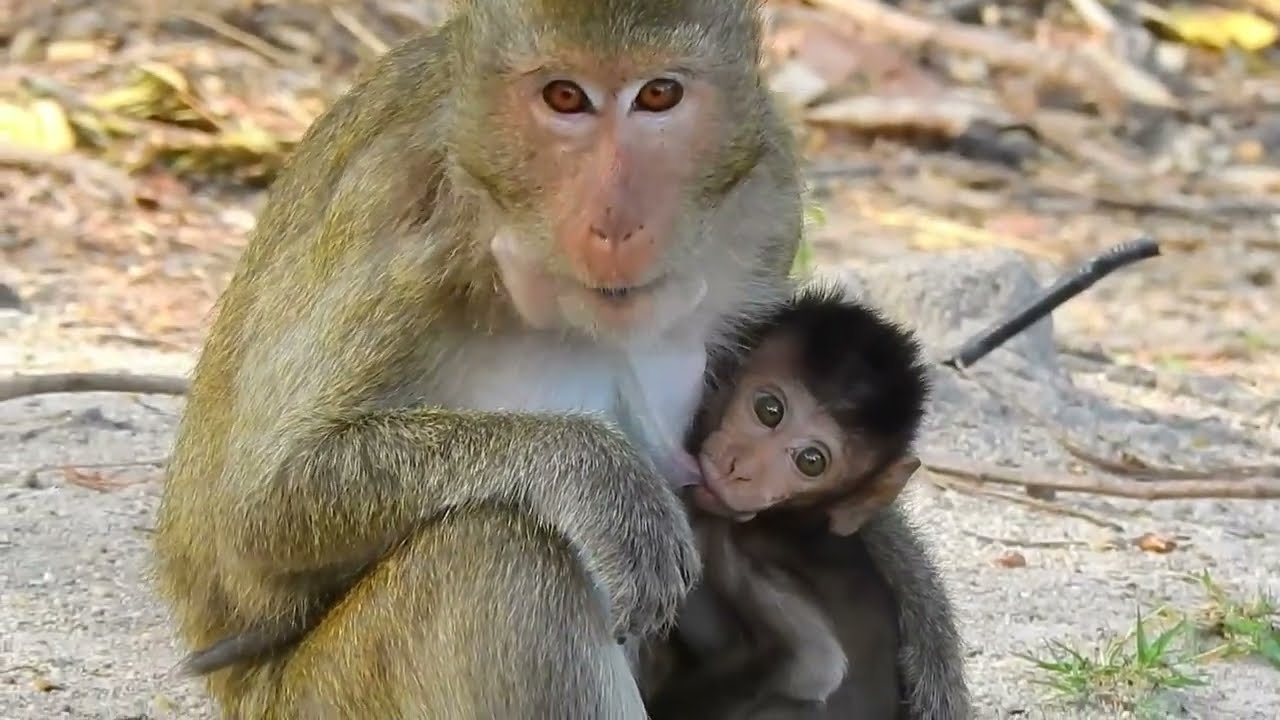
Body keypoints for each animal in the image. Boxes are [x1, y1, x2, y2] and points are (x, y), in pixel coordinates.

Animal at [150, 2, 969, 718]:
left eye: (659, 95)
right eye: (564, 97)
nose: (614, 219)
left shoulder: (768, 192)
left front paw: (921, 613)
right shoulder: (408, 225)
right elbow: (257, 509)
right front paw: (604, 482)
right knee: (499, 555)